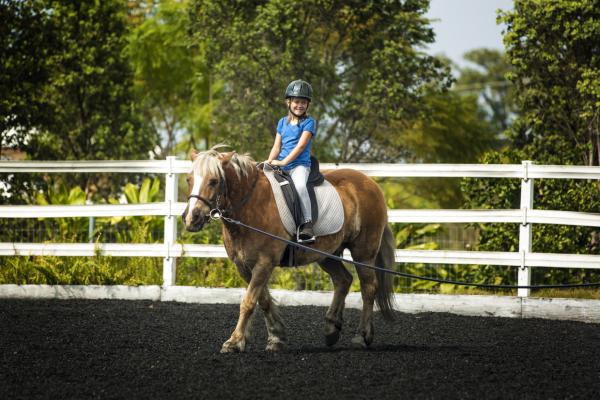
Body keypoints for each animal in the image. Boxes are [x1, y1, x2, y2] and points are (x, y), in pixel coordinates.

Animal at [185, 146, 396, 350]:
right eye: (189, 179)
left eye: (213, 181)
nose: (191, 219)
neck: (250, 205)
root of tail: (371, 183)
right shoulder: (243, 266)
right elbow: (263, 300)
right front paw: (277, 337)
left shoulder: (264, 263)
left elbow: (248, 302)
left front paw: (234, 342)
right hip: (327, 254)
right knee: (343, 280)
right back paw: (331, 329)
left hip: (363, 254)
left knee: (368, 288)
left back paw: (362, 336)